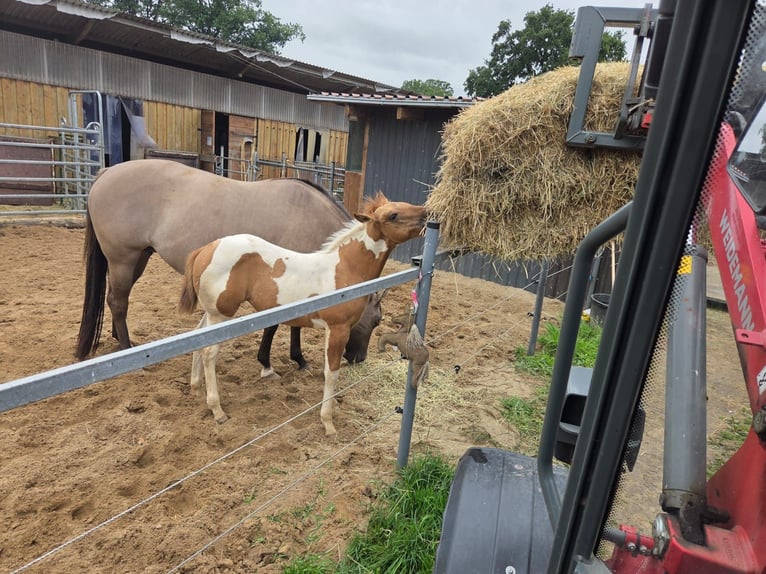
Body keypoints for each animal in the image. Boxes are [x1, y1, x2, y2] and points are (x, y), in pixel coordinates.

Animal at [75, 158, 383, 377]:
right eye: (377, 321)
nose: (358, 359)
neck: (310, 216)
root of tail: (107, 173)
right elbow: (275, 323)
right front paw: (268, 363)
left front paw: (299, 359)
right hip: (123, 258)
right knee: (118, 301)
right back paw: (128, 352)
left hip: (139, 257)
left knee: (117, 298)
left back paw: (122, 346)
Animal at [178, 193, 428, 434]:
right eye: (393, 215)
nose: (428, 214)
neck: (344, 268)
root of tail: (205, 249)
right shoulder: (338, 329)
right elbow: (332, 372)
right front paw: (328, 423)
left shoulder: (330, 329)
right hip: (221, 314)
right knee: (209, 352)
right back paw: (216, 409)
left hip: (213, 314)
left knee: (198, 337)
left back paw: (196, 386)